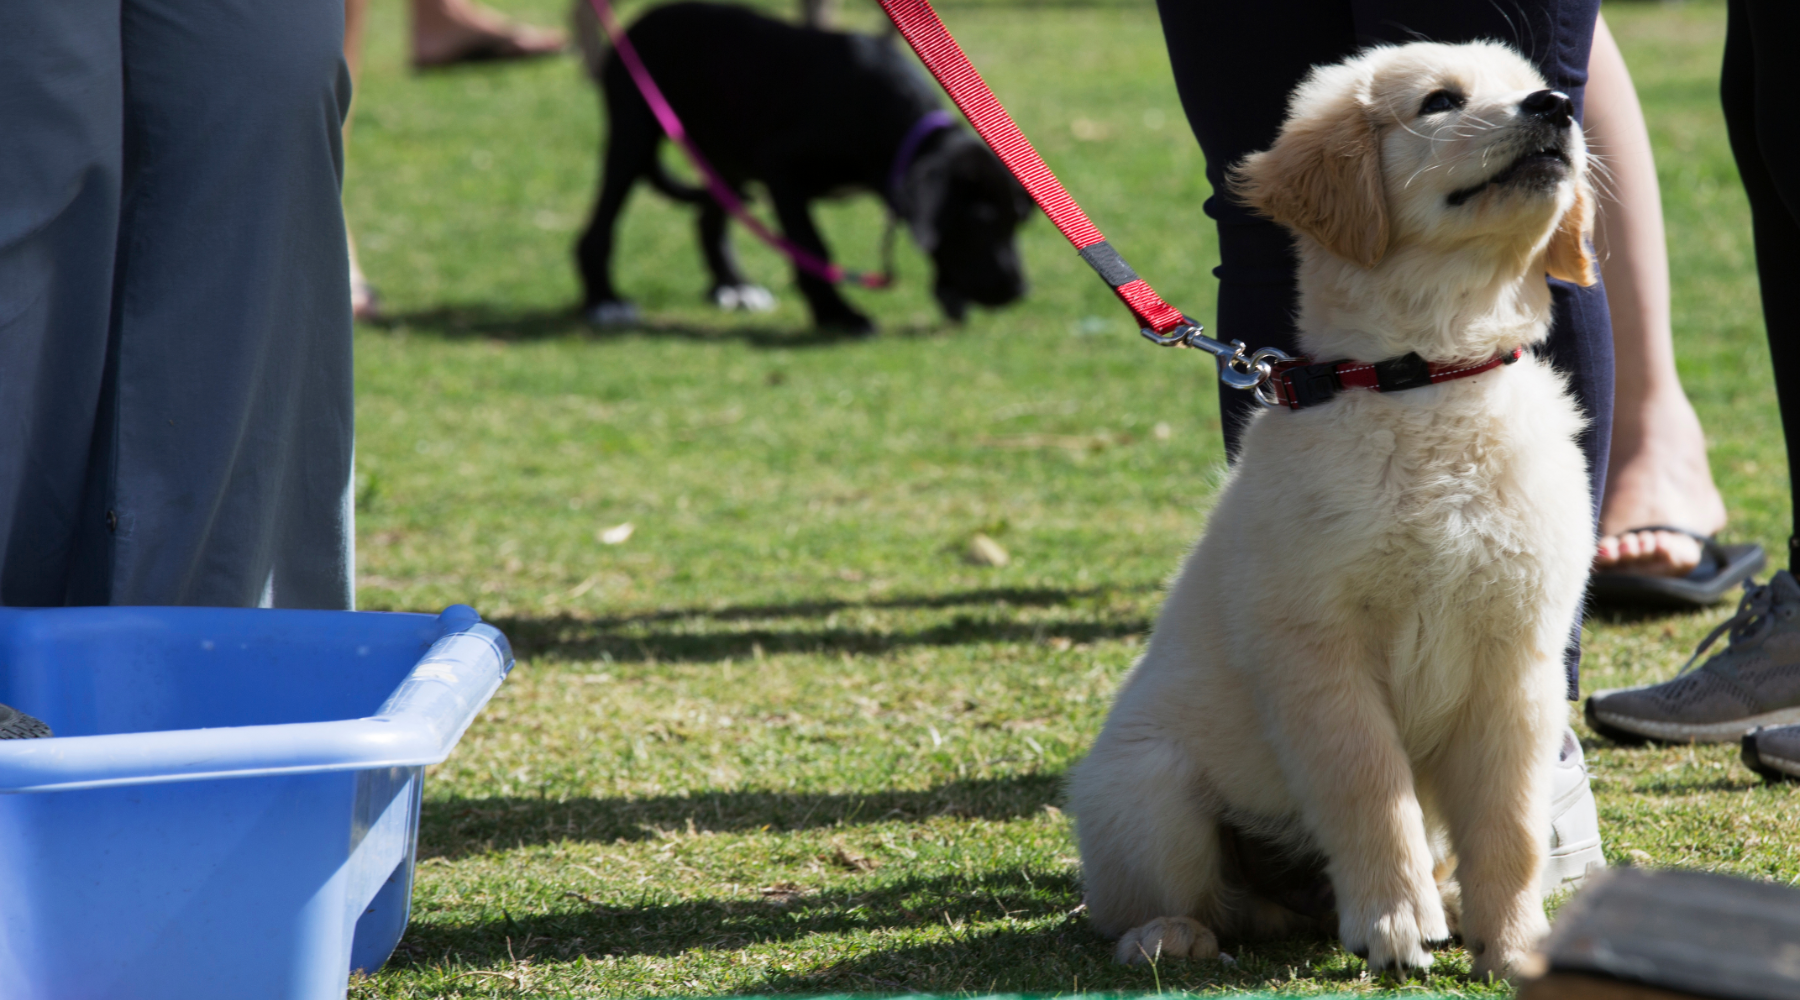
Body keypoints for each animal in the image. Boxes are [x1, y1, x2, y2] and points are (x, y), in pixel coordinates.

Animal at [576, 1, 1029, 334]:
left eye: (1017, 223)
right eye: (981, 221)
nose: (1019, 291)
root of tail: (642, 21)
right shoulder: (782, 170)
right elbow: (812, 246)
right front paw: (838, 315)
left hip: (727, 160)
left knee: (709, 219)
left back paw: (734, 286)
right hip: (633, 134)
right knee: (599, 228)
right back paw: (605, 300)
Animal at [1058, 39, 1598, 978]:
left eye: (1533, 85)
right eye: (1440, 101)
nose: (1556, 106)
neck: (1429, 380)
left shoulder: (1518, 658)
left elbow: (1513, 824)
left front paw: (1515, 941)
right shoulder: (1318, 650)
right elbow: (1369, 789)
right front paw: (1394, 920)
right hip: (1147, 787)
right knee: (1175, 902)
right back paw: (1171, 934)